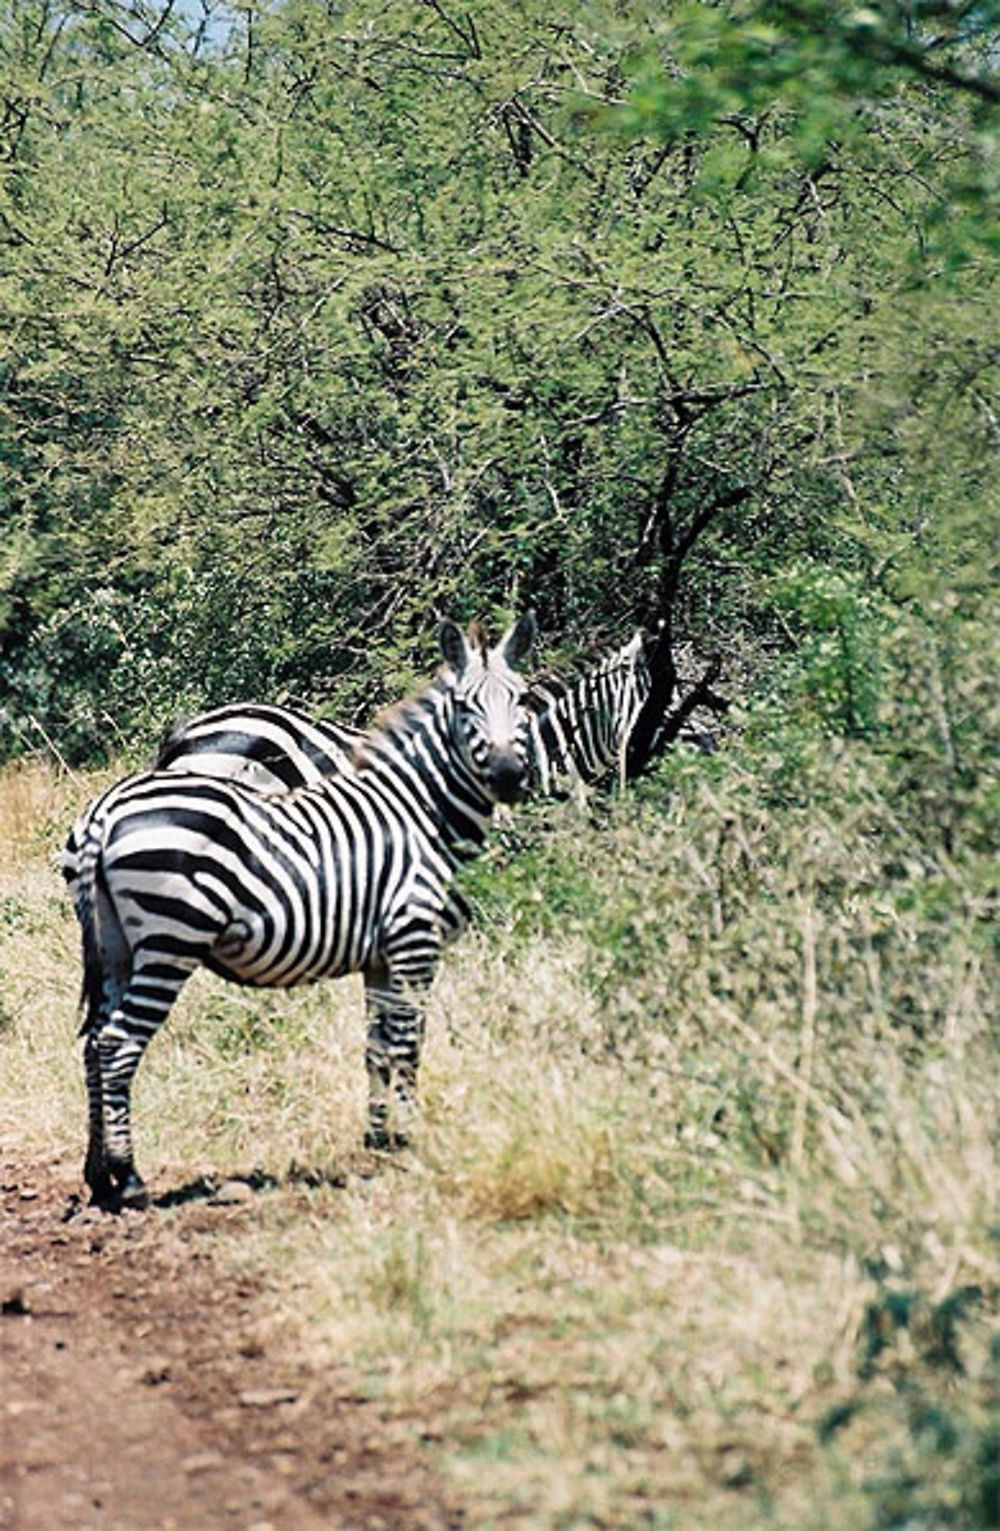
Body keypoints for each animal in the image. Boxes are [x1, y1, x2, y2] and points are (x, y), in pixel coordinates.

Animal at [68, 615, 539, 1212]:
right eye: (464, 706)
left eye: (521, 700)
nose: (507, 774)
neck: (423, 811)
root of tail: (107, 810)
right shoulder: (415, 940)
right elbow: (408, 1043)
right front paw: (409, 1142)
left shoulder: (381, 958)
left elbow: (377, 1046)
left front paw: (380, 1141)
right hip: (170, 940)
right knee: (118, 1043)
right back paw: (129, 1178)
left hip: (114, 947)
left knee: (92, 1042)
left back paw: (98, 1177)